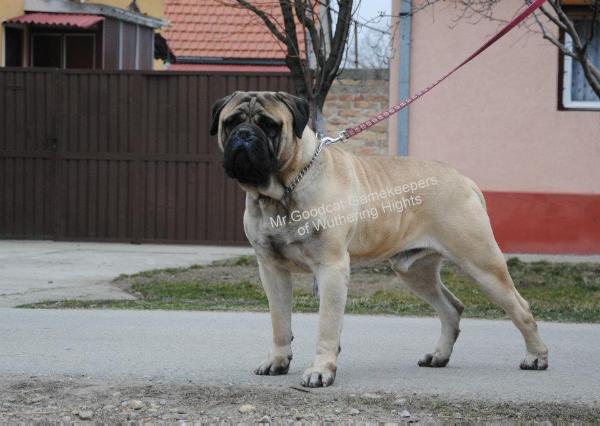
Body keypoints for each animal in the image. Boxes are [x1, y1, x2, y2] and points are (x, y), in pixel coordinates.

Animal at [210, 91, 548, 388]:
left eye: (269, 124)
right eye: (231, 122)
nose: (244, 135)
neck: (282, 189)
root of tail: (464, 180)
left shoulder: (331, 268)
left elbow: (326, 325)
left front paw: (321, 371)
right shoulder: (272, 269)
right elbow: (280, 321)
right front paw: (277, 361)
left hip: (481, 263)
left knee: (520, 308)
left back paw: (536, 357)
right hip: (415, 271)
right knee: (451, 308)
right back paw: (439, 356)